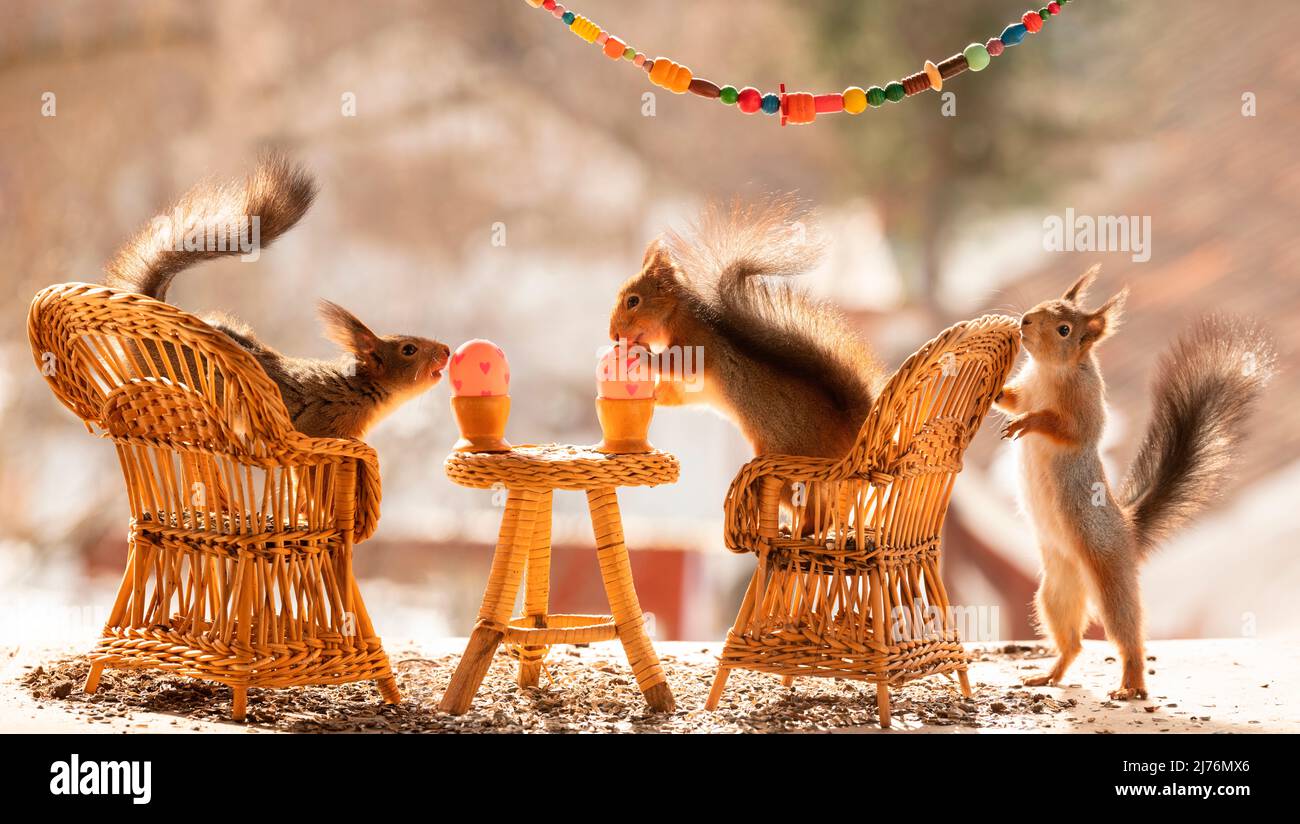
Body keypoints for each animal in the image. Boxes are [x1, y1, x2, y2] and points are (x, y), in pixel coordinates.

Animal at [608, 197, 884, 463]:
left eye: (633, 301)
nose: (613, 336)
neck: (674, 315)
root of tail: (850, 435)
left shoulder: (696, 342)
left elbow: (678, 363)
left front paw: (641, 356)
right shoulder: (684, 388)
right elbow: (672, 394)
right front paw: (651, 393)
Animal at [995, 265, 1275, 700]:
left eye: (1063, 330)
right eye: (1043, 305)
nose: (1024, 321)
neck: (1048, 371)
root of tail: (1127, 530)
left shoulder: (1086, 410)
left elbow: (1066, 429)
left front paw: (1030, 422)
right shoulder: (1025, 388)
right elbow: (1010, 400)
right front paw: (988, 386)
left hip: (1109, 576)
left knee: (1128, 635)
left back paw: (1132, 684)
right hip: (1056, 589)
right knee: (1072, 643)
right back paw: (1050, 675)